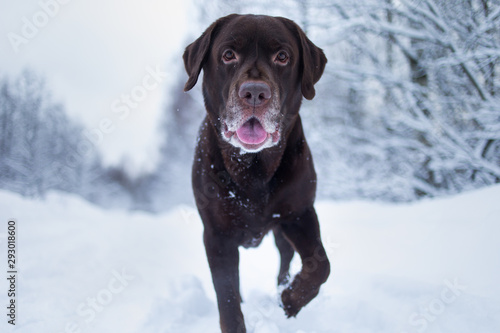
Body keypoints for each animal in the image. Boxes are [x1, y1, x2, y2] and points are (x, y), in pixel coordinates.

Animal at [182, 14, 330, 330]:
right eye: (228, 55)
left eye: (282, 56)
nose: (254, 93)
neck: (254, 168)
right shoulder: (217, 234)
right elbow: (227, 298)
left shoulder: (299, 213)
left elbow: (320, 265)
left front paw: (289, 300)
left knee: (286, 255)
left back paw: (282, 287)